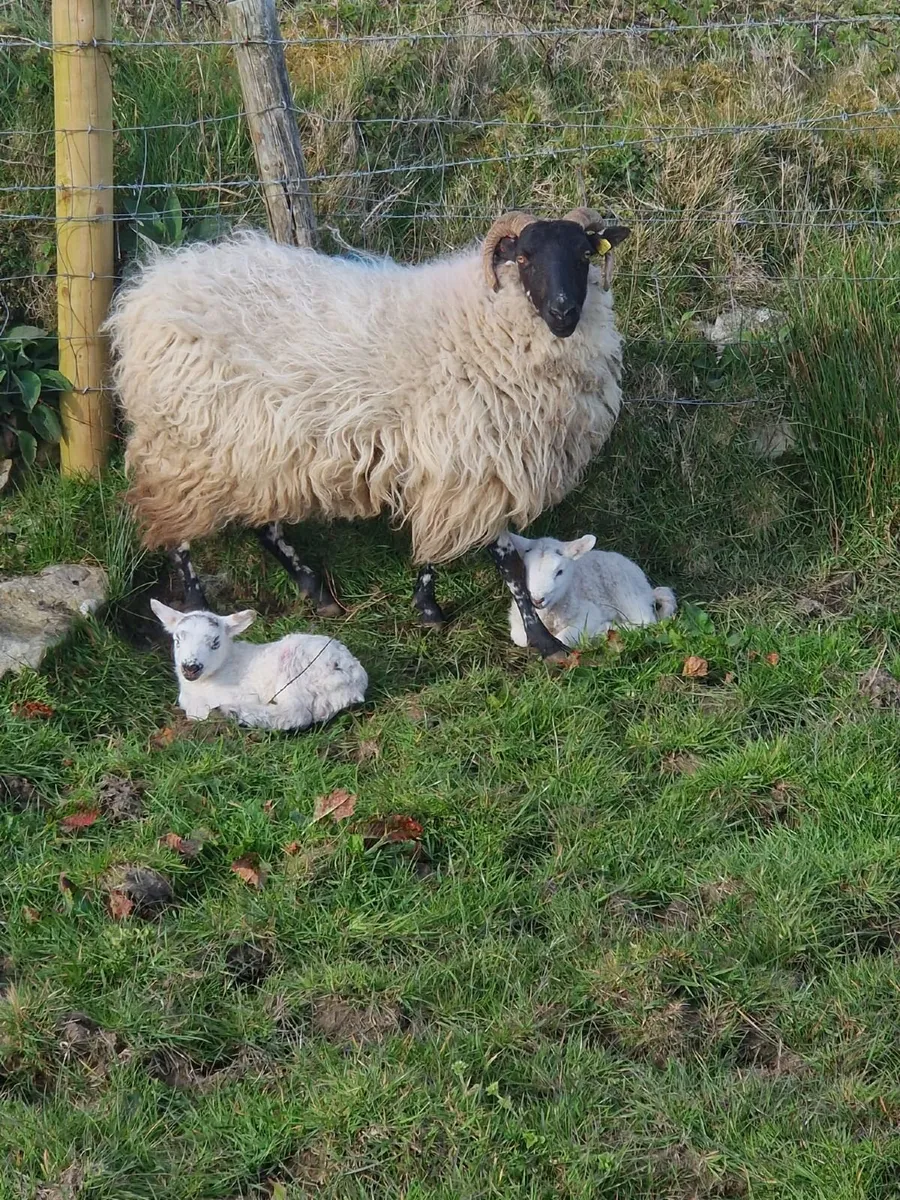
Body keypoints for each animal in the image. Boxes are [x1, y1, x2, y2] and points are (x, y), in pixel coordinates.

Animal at [107, 207, 631, 660]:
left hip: (260, 444)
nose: (563, 312)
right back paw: (198, 607)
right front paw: (539, 639)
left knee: (263, 522)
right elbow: (508, 565)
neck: (486, 319)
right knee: (177, 528)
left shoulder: (454, 465)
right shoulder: (473, 465)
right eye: (524, 258)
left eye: (584, 255)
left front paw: (432, 607)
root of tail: (150, 287)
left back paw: (314, 589)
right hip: (185, 442)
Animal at [150, 600, 368, 730]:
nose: (190, 667)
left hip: (295, 670)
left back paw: (233, 713)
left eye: (215, 642)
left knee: (296, 713)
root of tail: (354, 678)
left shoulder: (244, 693)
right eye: (177, 640)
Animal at [503, 532, 677, 649]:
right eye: (524, 569)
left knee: (645, 620)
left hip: (622, 586)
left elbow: (563, 638)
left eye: (560, 572)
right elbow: (520, 638)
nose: (537, 599)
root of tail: (647, 588)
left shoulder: (590, 613)